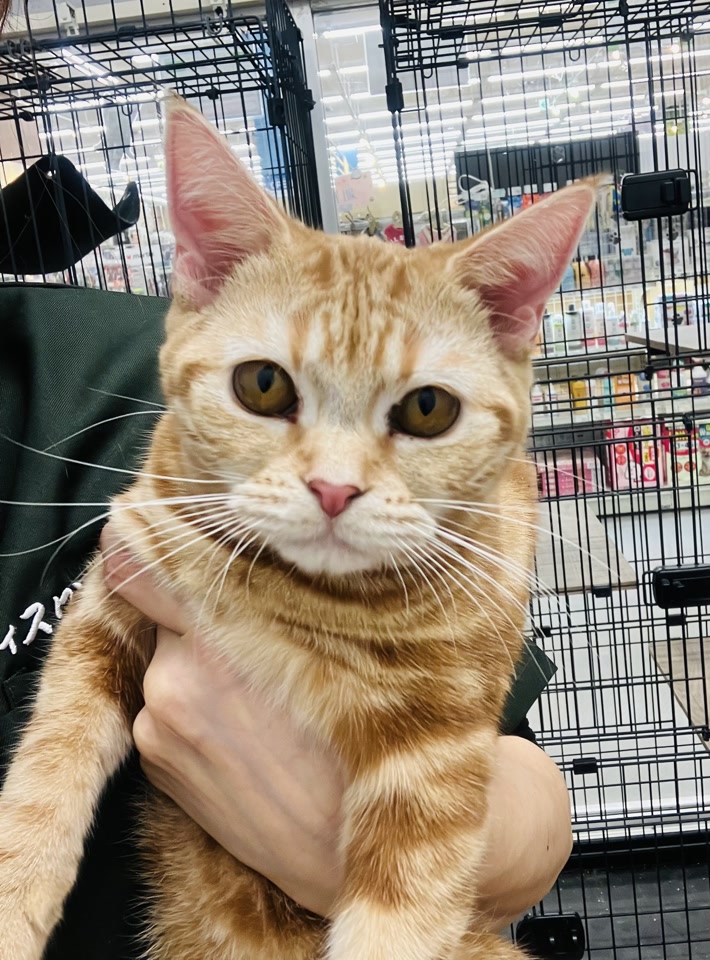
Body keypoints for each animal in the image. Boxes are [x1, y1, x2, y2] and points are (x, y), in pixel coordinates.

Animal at [0, 95, 596, 960]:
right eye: (262, 384)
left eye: (429, 408)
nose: (334, 488)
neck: (296, 594)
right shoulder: (114, 592)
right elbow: (52, 749)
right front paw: (13, 893)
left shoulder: (437, 750)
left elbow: (399, 918)